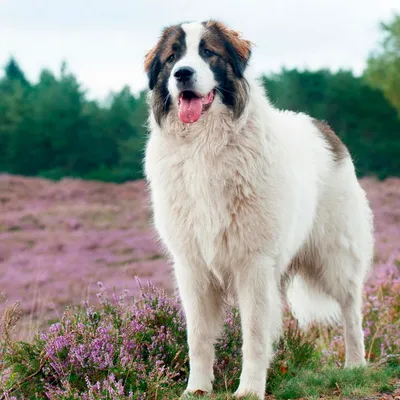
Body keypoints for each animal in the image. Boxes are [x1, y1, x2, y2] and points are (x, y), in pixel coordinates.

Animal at [142, 20, 374, 398]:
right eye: (172, 57)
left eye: (208, 52)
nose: (183, 73)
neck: (204, 145)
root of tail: (324, 129)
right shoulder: (192, 266)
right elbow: (199, 337)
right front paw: (197, 389)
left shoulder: (253, 263)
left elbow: (252, 333)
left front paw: (249, 389)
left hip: (336, 257)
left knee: (351, 310)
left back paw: (356, 365)